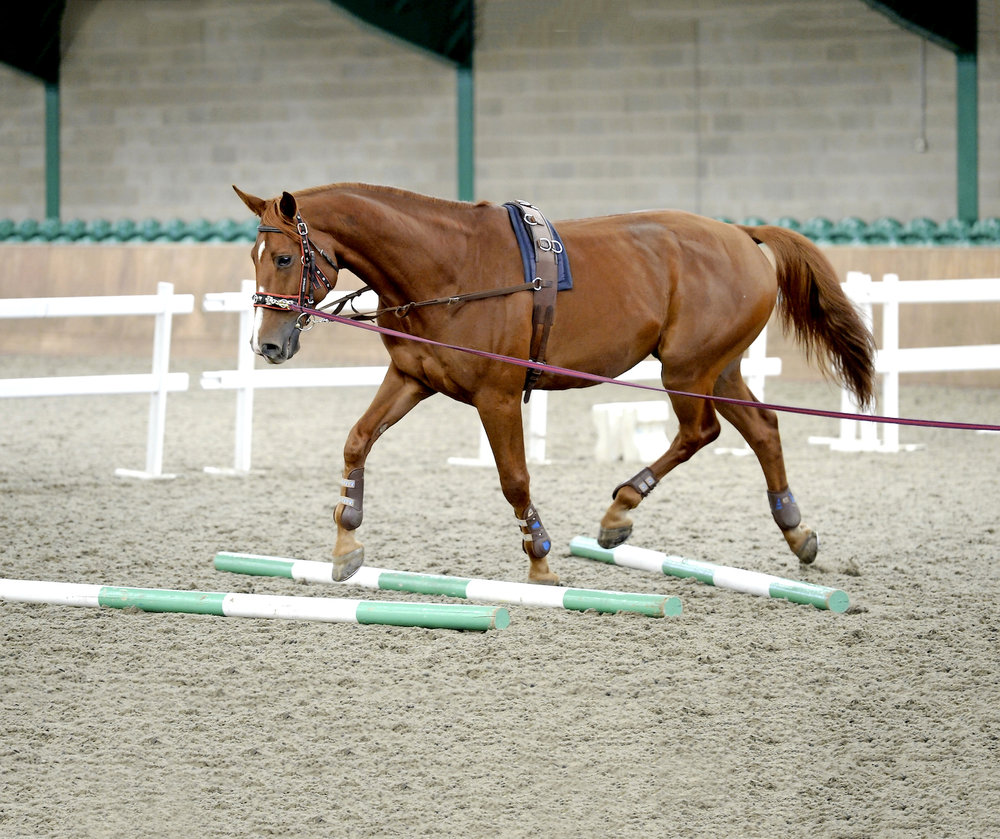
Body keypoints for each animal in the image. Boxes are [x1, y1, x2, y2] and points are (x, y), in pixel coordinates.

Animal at [233, 182, 875, 584]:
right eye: (254, 256)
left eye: (285, 258)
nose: (268, 345)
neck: (448, 265)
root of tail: (741, 235)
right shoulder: (412, 378)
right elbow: (357, 441)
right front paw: (346, 545)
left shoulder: (495, 396)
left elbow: (514, 479)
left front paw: (540, 559)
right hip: (719, 369)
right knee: (762, 429)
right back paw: (796, 531)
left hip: (688, 371)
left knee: (702, 432)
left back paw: (620, 510)